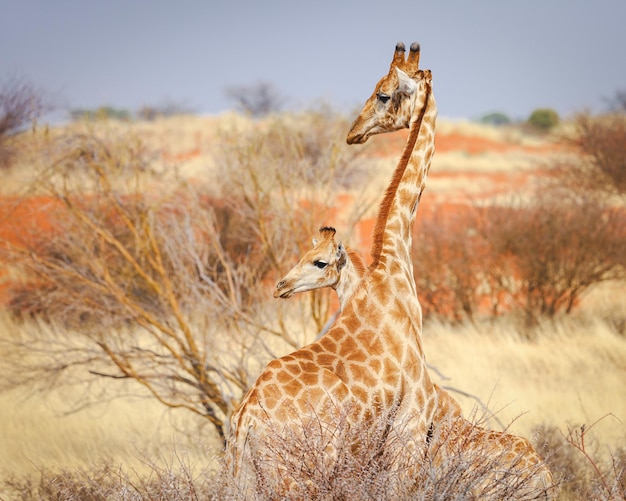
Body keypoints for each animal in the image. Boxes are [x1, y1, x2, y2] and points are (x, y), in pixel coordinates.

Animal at [228, 43, 444, 496]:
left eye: (382, 94)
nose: (353, 132)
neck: (395, 267)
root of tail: (245, 421)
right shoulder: (411, 428)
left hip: (240, 477)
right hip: (297, 478)